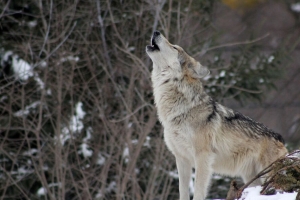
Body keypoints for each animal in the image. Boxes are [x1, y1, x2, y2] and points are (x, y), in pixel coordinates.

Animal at [146, 30, 288, 200]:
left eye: (174, 47)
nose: (156, 31)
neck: (181, 109)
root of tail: (280, 138)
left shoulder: (202, 157)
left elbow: (199, 191)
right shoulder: (181, 159)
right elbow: (183, 191)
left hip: (268, 175)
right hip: (252, 178)